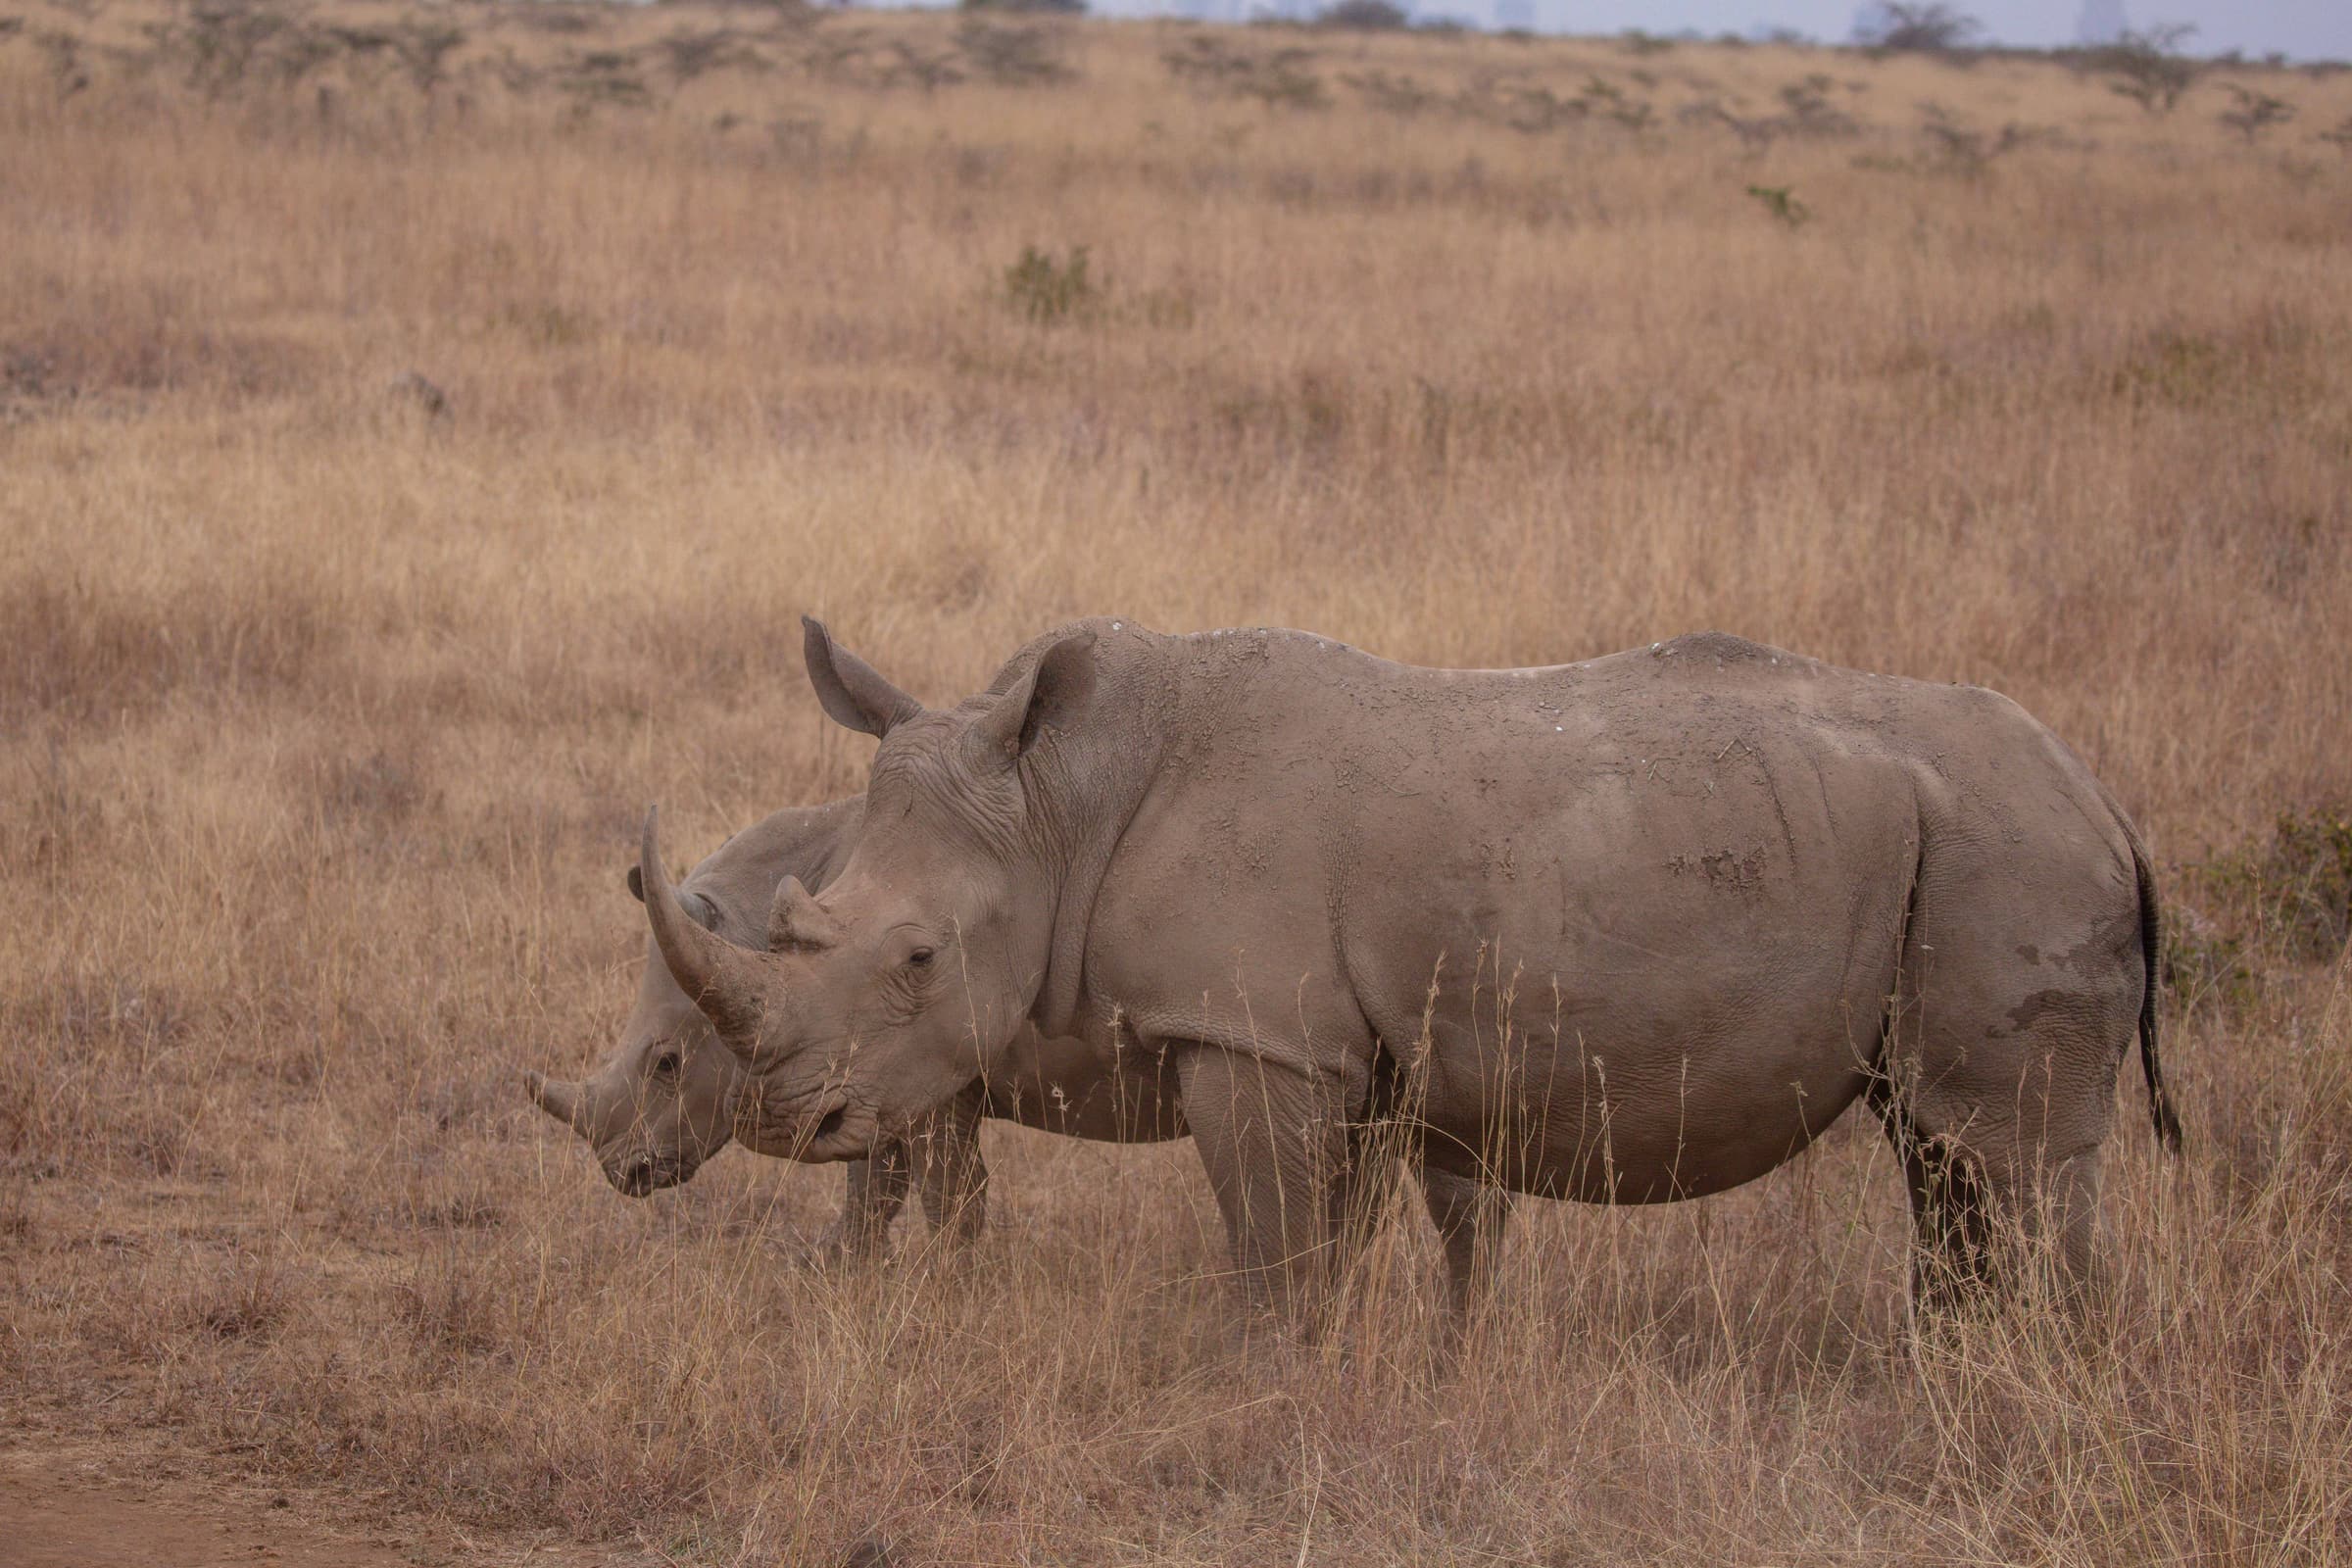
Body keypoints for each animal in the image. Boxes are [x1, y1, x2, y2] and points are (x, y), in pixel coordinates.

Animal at [529, 792, 1505, 1297]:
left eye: (667, 1065)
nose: (623, 1172)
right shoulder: (868, 1070)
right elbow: (874, 1184)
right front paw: (841, 1272)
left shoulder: (916, 1070)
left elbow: (932, 1190)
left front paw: (941, 1290)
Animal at [638, 621, 2180, 1313]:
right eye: (802, 920)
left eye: (915, 958)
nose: (787, 1120)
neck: (1061, 804)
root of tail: (2113, 805)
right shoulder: (1343, 1047)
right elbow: (1331, 1239)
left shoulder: (1255, 1038)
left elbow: (1274, 1245)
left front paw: (1262, 1381)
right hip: (1972, 857)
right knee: (1945, 1153)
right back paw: (1953, 1365)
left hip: (2012, 861)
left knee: (2010, 1157)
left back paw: (2018, 1381)